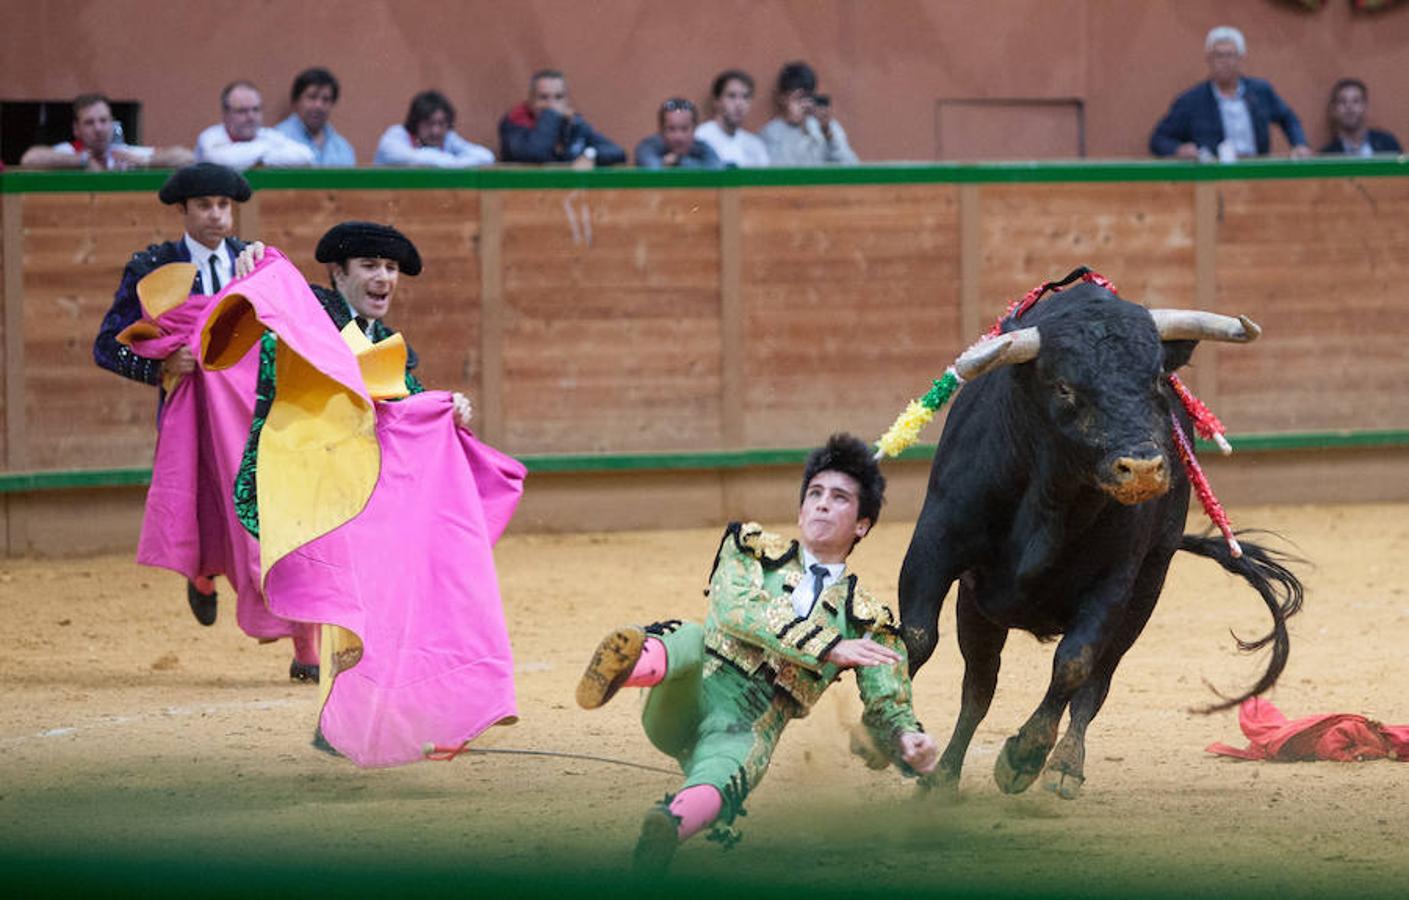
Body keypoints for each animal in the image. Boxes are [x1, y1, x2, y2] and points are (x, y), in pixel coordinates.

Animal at [896, 278, 1301, 800]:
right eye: (1064, 387)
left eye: (1157, 380)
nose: (1144, 468)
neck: (1051, 496)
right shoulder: (935, 547)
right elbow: (917, 638)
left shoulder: (1115, 581)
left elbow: (1075, 662)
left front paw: (1024, 757)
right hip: (977, 605)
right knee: (979, 686)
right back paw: (942, 778)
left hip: (1146, 588)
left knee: (1094, 681)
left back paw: (1063, 767)